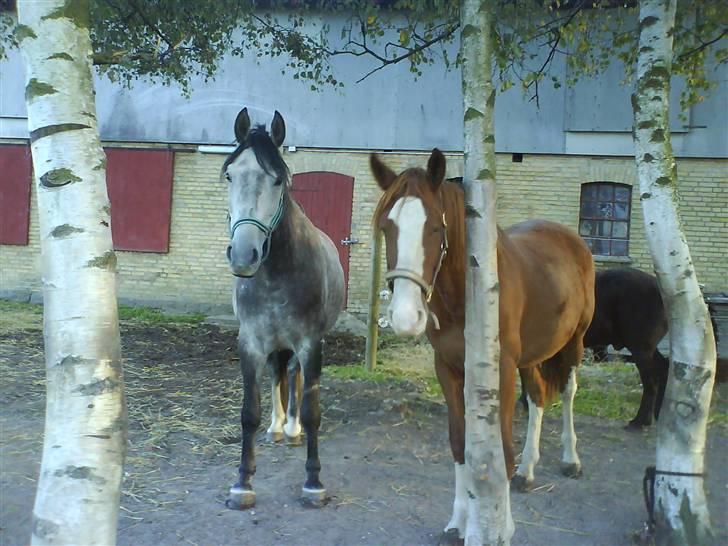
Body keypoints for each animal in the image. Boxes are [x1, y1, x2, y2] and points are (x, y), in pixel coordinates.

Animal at [372, 148, 596, 536]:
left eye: (435, 228)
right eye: (387, 227)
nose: (405, 317)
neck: (467, 295)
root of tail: (572, 239)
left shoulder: (501, 369)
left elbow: (501, 447)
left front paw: (501, 528)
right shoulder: (448, 368)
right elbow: (459, 441)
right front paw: (459, 522)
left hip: (574, 342)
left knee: (568, 392)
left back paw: (571, 459)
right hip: (530, 358)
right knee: (537, 397)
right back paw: (527, 471)